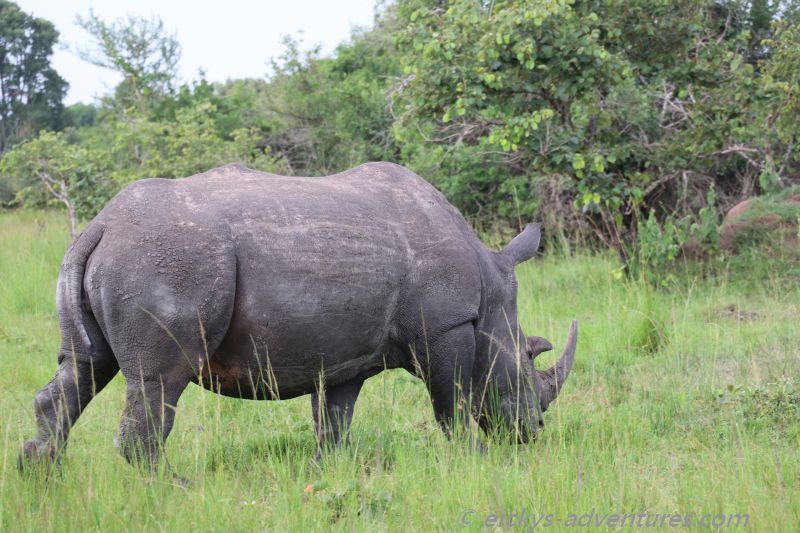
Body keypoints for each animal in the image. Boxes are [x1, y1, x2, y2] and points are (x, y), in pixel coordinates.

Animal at [20, 162, 577, 470]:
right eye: (529, 360)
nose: (531, 432)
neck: (489, 293)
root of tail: (102, 225)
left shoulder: (351, 353)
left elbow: (334, 420)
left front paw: (328, 471)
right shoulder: (446, 326)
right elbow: (453, 404)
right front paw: (474, 461)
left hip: (125, 254)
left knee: (85, 366)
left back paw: (42, 474)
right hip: (168, 259)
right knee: (159, 381)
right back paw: (174, 486)